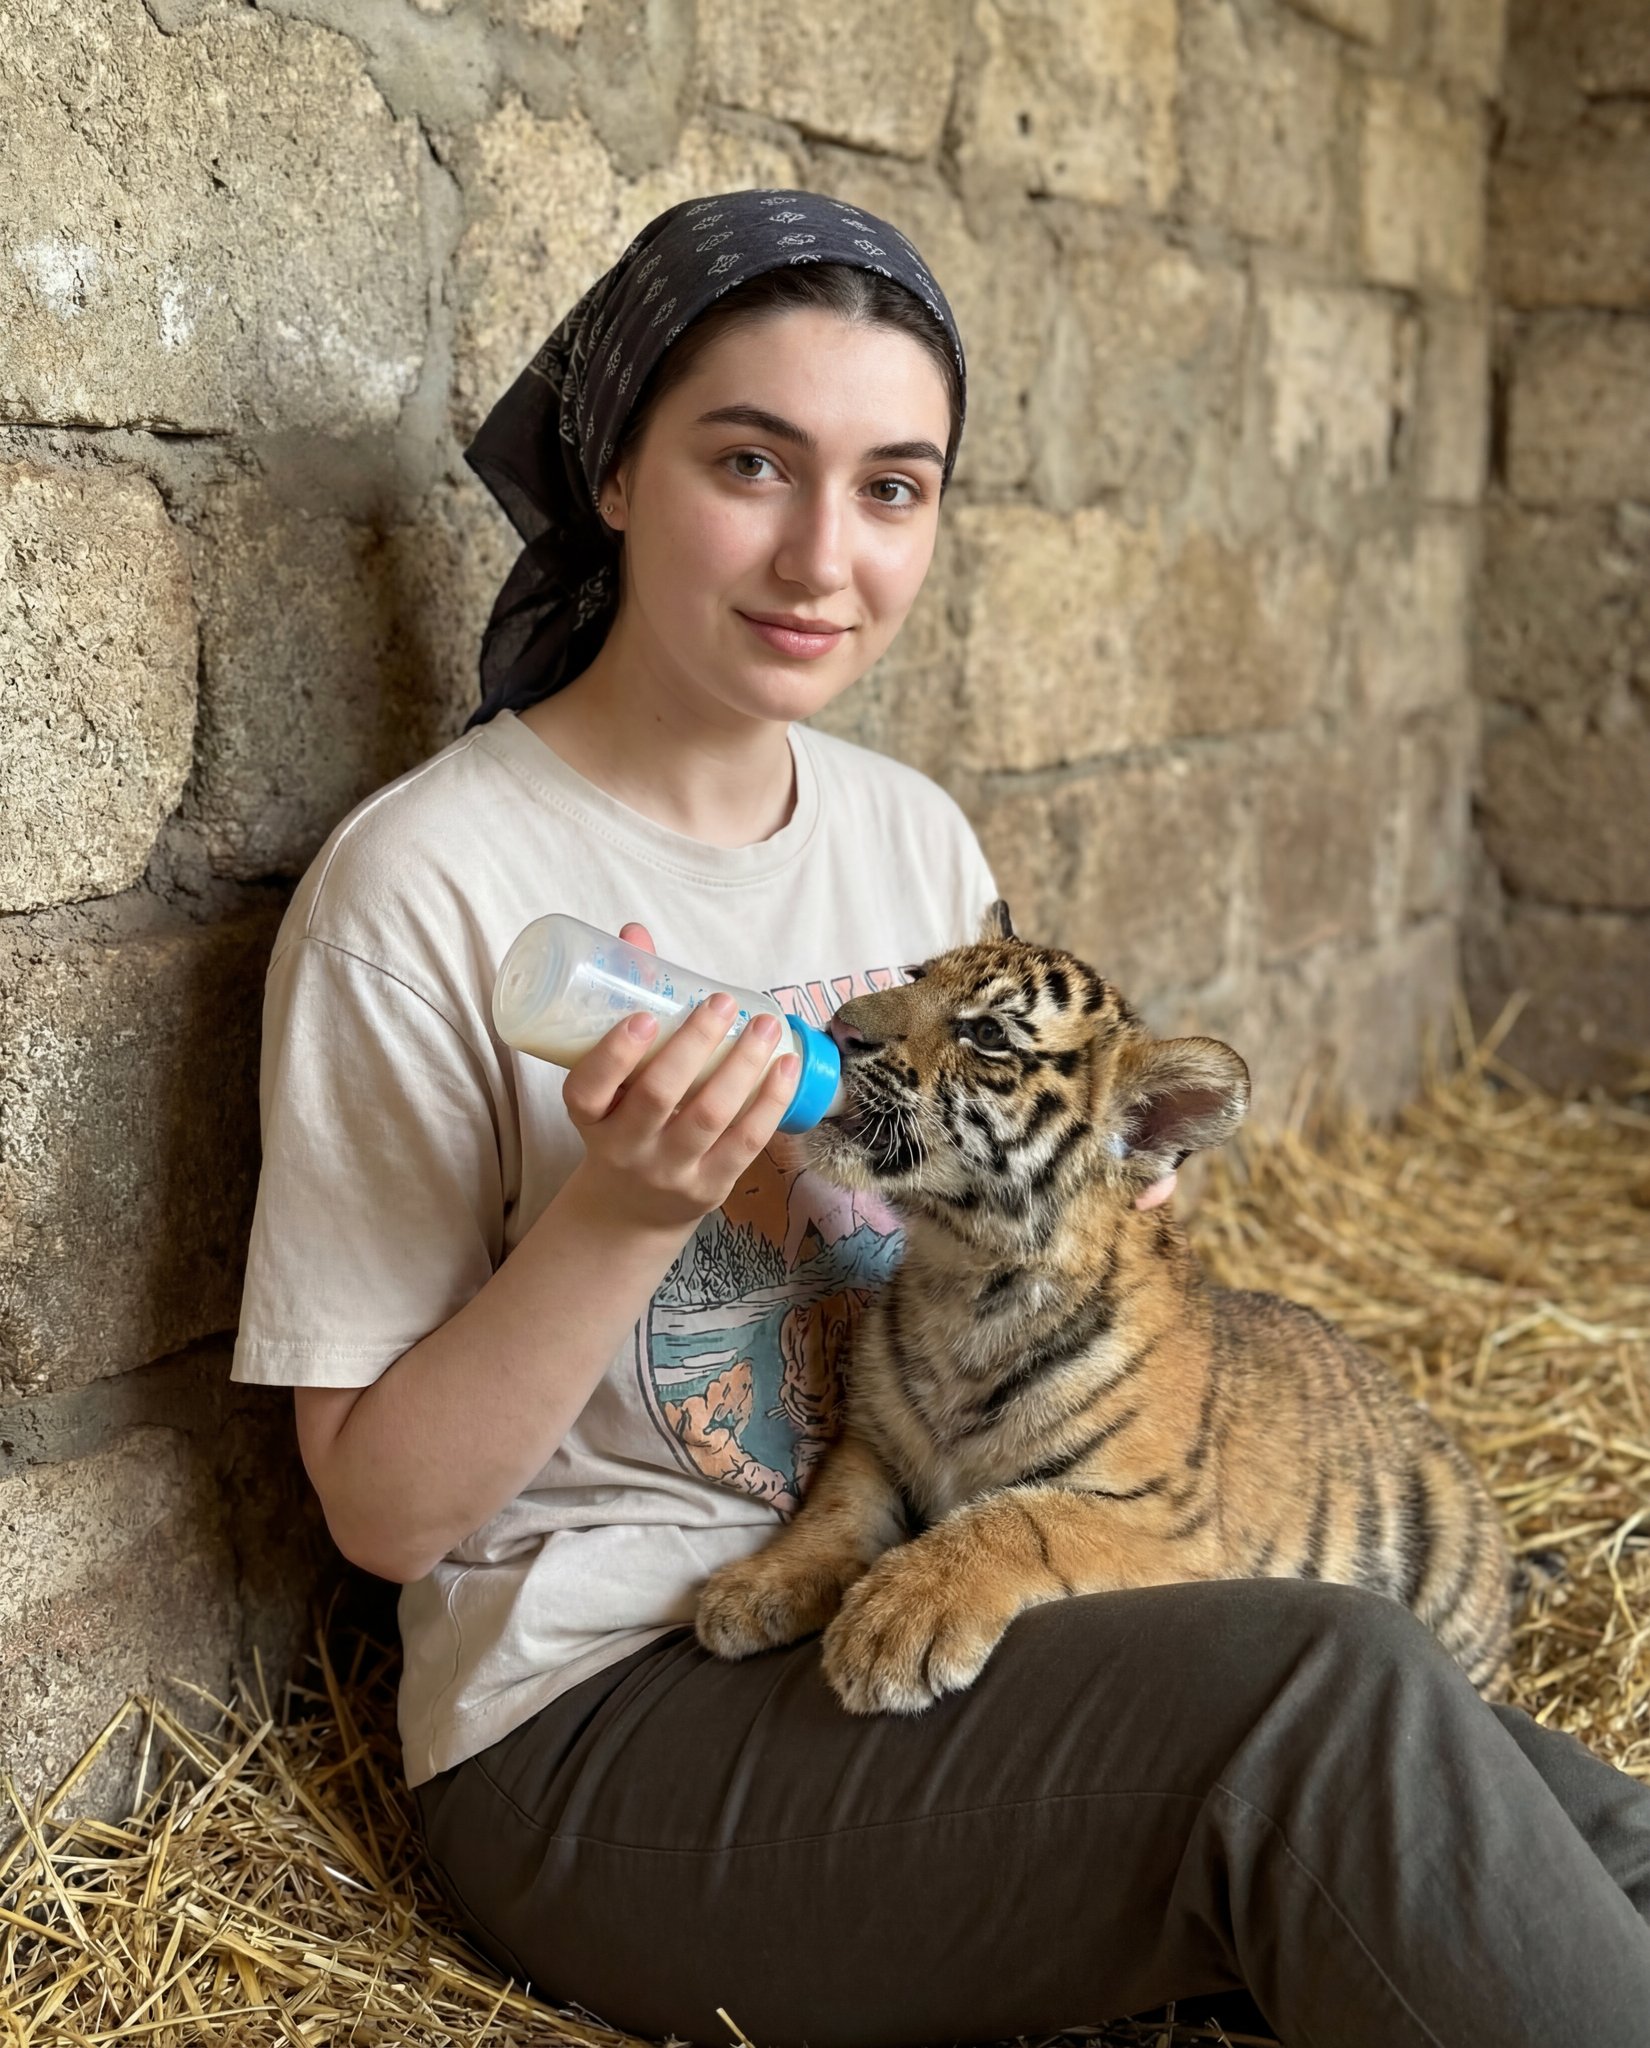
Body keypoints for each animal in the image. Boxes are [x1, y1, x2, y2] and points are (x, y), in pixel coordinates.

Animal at [695, 900, 1515, 1715]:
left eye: (987, 1034)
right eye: (916, 976)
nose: (838, 1029)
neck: (965, 1275)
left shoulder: (1166, 1518)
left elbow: (1022, 1517)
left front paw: (892, 1624)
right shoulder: (873, 1443)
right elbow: (835, 1509)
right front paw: (750, 1591)